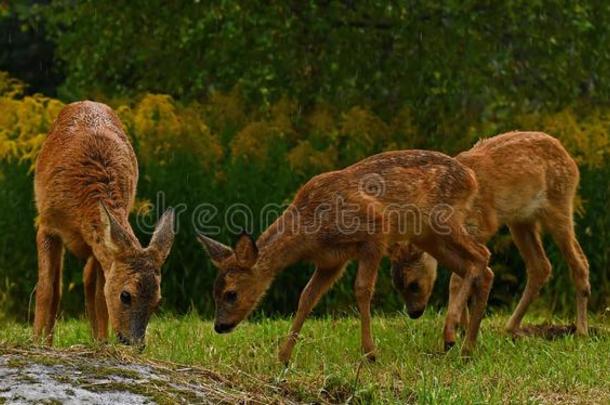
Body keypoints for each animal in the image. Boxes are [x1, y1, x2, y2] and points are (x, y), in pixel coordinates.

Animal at [34, 102, 175, 348]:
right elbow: (46, 289)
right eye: (126, 295)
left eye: (158, 300)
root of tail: (87, 102)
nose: (135, 342)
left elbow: (100, 294)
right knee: (58, 286)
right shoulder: (47, 225)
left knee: (89, 281)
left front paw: (101, 342)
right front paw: (36, 342)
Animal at [197, 149, 492, 362]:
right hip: (428, 236)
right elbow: (307, 297)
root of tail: (471, 177)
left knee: (481, 256)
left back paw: (452, 335)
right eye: (214, 291)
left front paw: (370, 353)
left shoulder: (375, 232)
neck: (312, 229)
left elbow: (362, 289)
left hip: (443, 220)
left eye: (231, 294)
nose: (219, 326)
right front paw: (283, 357)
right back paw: (467, 349)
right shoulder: (331, 262)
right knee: (480, 268)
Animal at [390, 130, 588, 340]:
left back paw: (581, 330)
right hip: (520, 221)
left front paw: (458, 328)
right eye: (396, 285)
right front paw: (462, 326)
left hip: (559, 204)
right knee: (541, 266)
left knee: (579, 263)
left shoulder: (479, 227)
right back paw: (511, 328)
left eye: (414, 284)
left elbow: (456, 279)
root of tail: (568, 156)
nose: (414, 313)